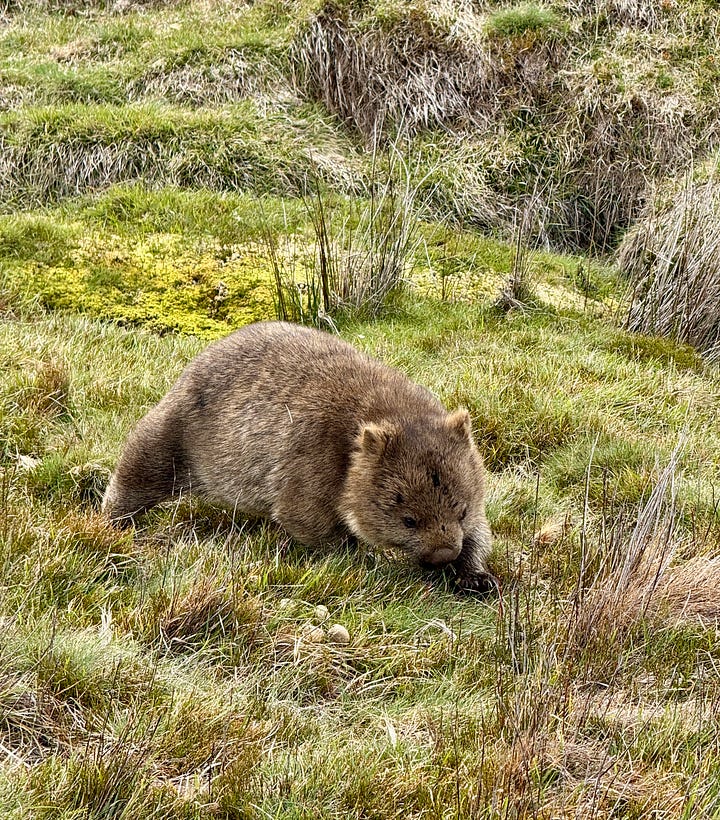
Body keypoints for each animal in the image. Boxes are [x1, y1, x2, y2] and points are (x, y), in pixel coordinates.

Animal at [102, 321, 493, 591]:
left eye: (461, 511)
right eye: (408, 521)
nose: (443, 553)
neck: (388, 413)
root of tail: (208, 350)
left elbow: (480, 531)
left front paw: (476, 576)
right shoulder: (312, 460)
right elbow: (305, 516)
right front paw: (361, 555)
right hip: (181, 424)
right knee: (143, 462)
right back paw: (113, 522)